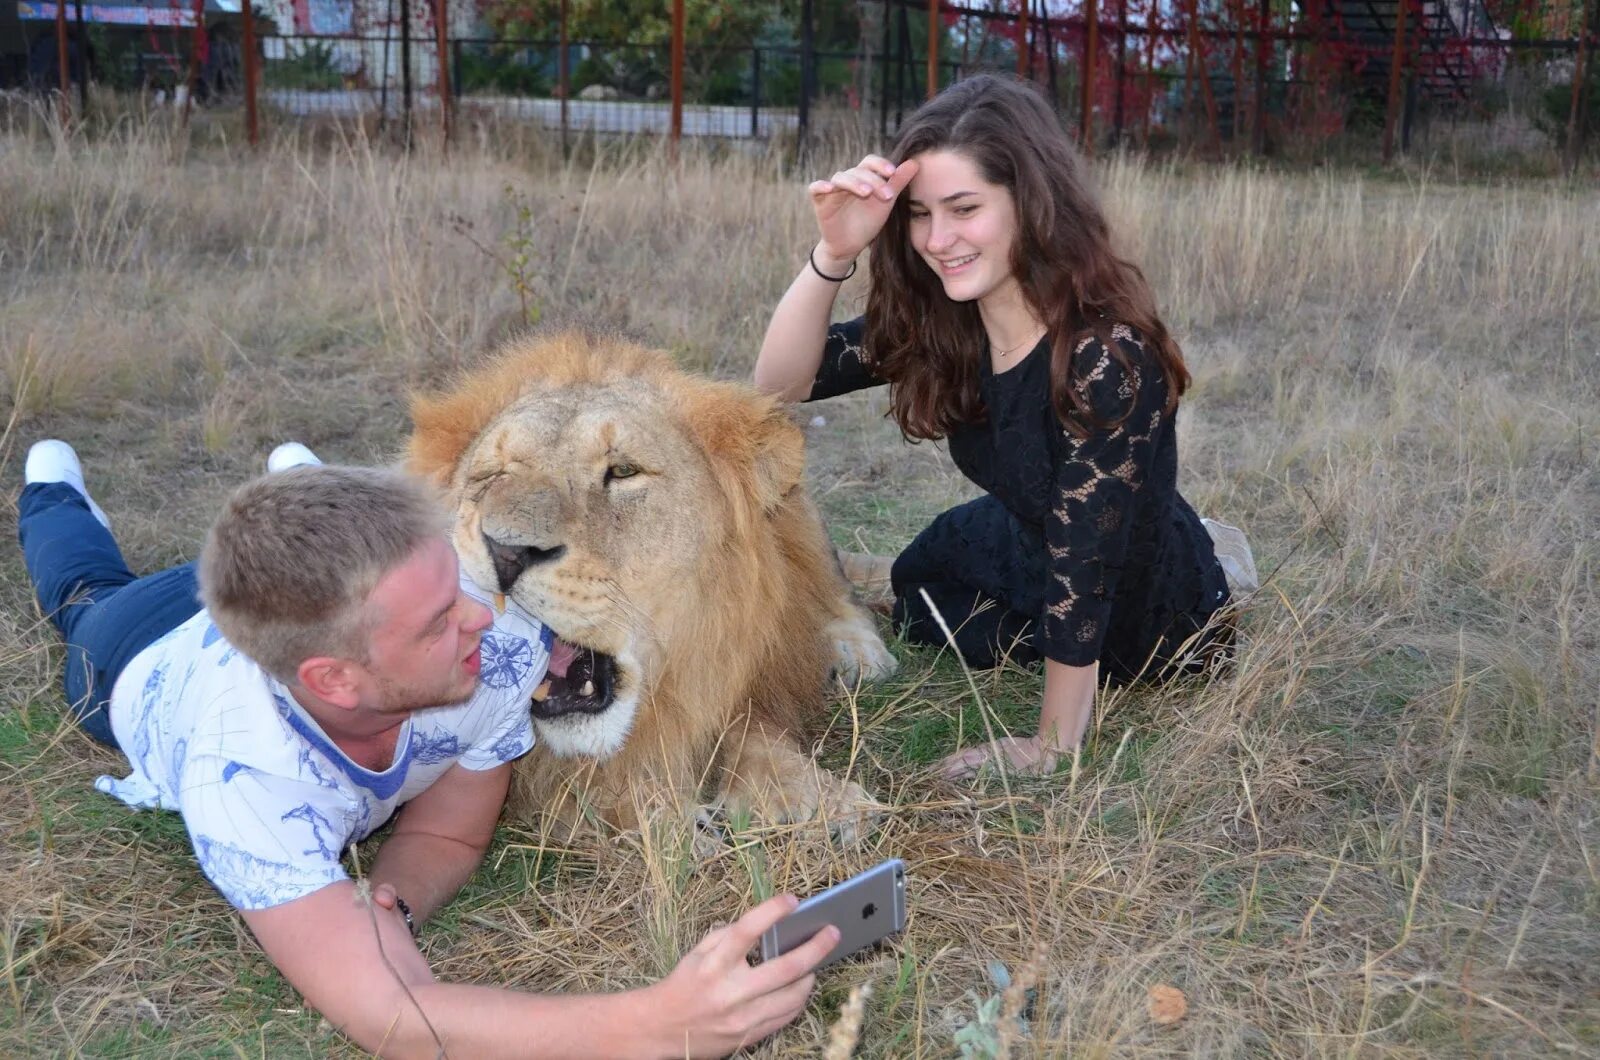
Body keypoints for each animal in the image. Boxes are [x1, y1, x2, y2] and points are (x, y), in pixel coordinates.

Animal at [406, 328, 896, 845]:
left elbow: (755, 729)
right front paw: (669, 822)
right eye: (491, 473)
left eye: (623, 472)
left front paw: (816, 801)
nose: (506, 552)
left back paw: (857, 651)